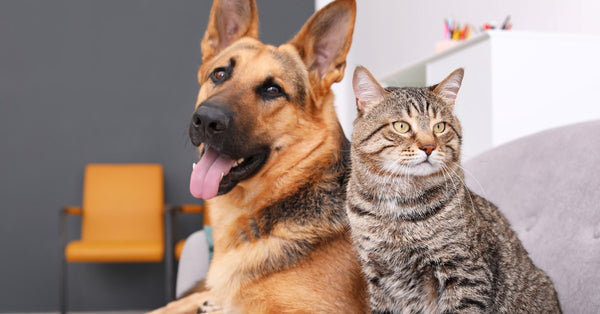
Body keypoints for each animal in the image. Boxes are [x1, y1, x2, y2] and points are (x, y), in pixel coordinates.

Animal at [344, 65, 560, 312]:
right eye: (401, 126)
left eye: (439, 127)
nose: (429, 147)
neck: (398, 206)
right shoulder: (378, 279)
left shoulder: (464, 272)